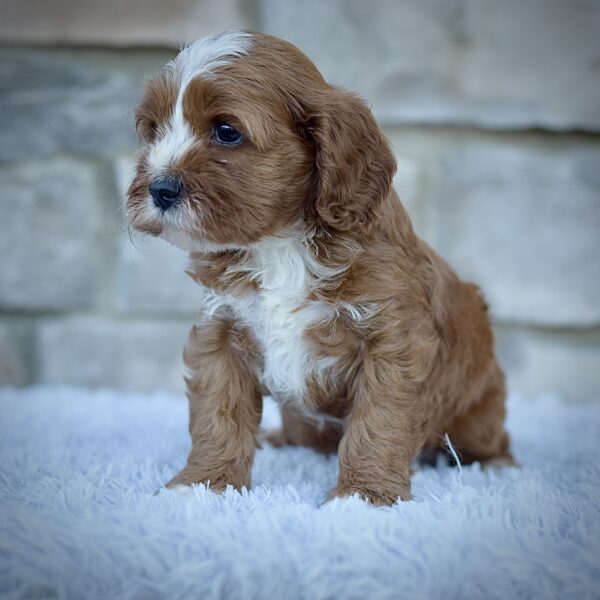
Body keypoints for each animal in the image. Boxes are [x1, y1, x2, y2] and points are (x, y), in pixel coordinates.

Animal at [127, 30, 516, 504]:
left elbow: (378, 421)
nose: (160, 188)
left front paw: (363, 496)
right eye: (154, 129)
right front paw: (201, 485)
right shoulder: (220, 333)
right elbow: (217, 416)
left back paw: (496, 466)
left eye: (226, 131)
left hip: (478, 414)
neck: (279, 246)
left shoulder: (393, 340)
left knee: (491, 440)